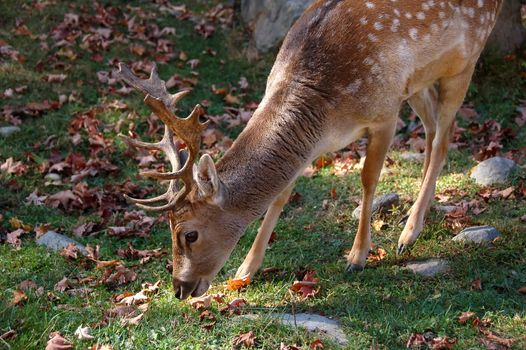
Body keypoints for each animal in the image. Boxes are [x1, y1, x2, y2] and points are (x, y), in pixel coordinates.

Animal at [116, 0, 508, 300]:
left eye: (189, 233)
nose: (179, 289)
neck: (326, 115)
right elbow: (280, 194)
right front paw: (245, 270)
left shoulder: (384, 113)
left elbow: (368, 179)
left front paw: (357, 257)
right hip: (419, 81)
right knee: (432, 131)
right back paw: (414, 221)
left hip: (465, 58)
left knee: (443, 138)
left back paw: (407, 234)